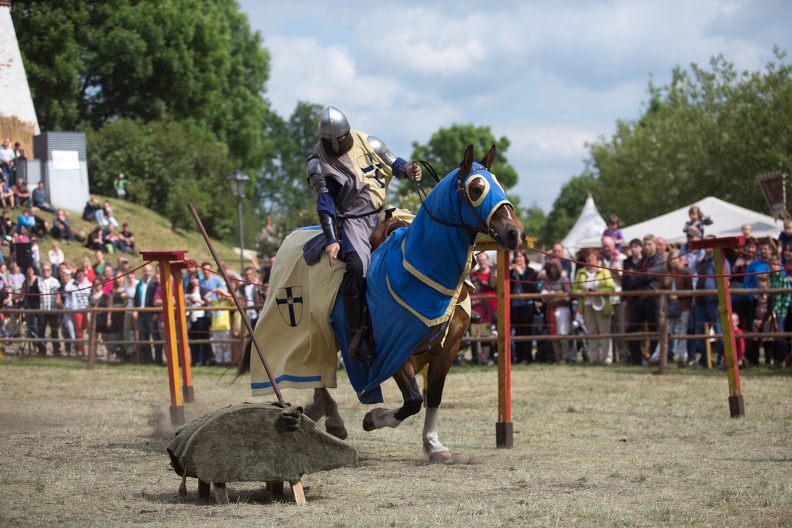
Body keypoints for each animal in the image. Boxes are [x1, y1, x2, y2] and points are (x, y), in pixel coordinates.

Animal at [241, 144, 524, 462]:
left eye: (499, 186)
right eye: (476, 188)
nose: (515, 233)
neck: (421, 266)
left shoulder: (446, 350)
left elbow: (433, 397)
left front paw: (433, 444)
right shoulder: (391, 349)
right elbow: (412, 401)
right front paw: (373, 418)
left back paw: (317, 412)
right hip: (308, 330)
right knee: (312, 371)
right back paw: (334, 419)